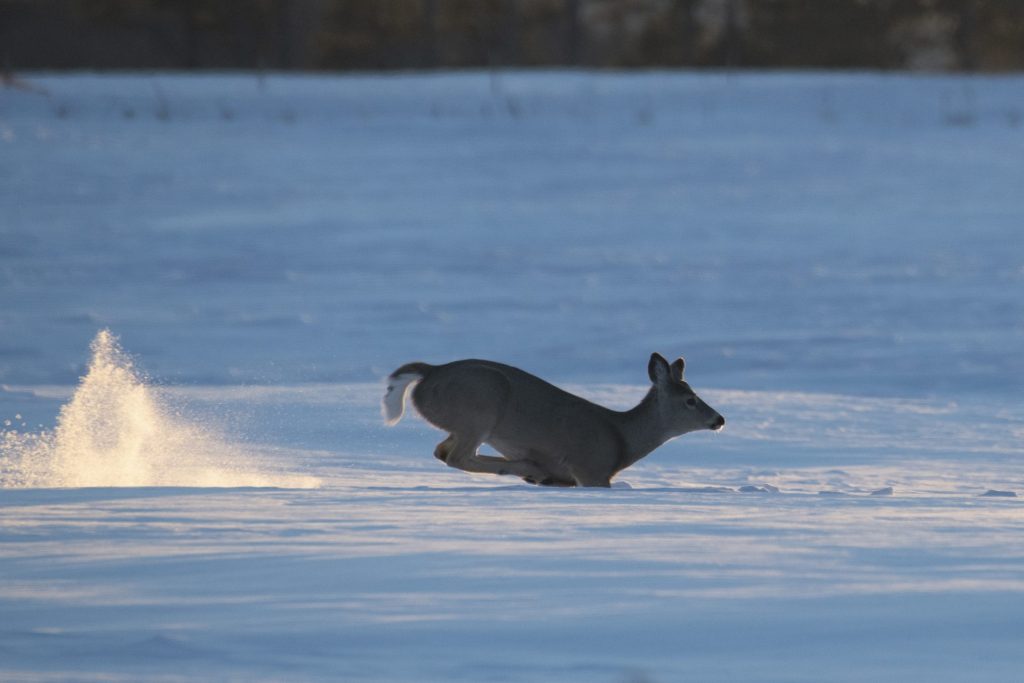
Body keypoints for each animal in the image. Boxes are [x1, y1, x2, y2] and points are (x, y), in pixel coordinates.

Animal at [380, 352, 724, 485]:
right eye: (691, 400)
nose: (719, 419)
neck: (623, 440)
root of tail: (430, 372)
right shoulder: (592, 467)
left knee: (442, 451)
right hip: (479, 406)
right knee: (456, 456)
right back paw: (530, 468)